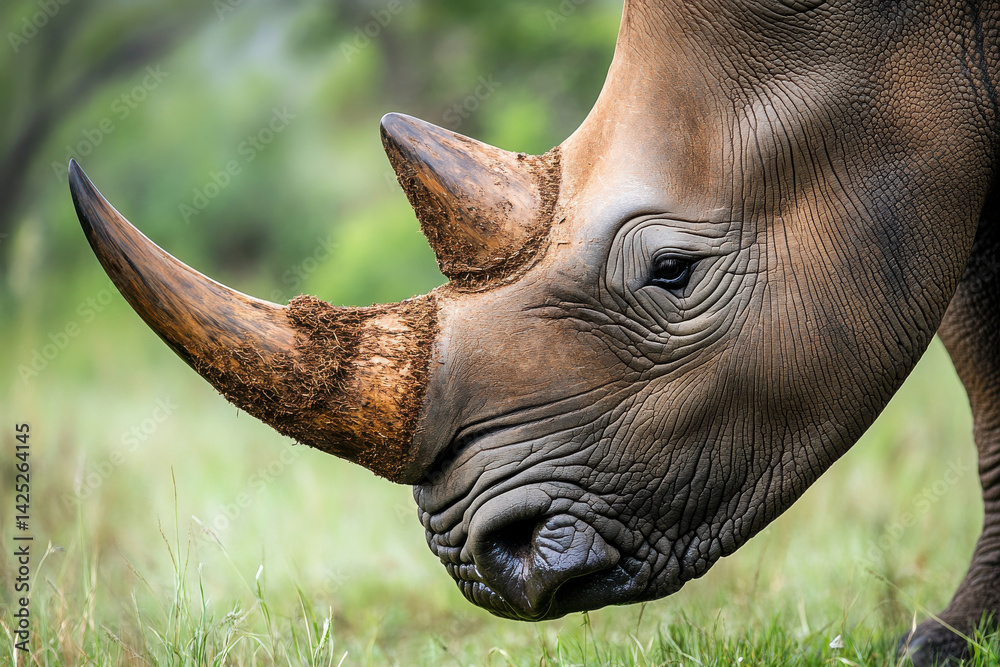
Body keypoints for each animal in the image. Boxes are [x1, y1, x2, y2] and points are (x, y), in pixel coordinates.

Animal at [70, 0, 999, 664]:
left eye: (673, 272)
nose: (488, 560)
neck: (923, 29)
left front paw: (942, 644)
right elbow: (984, 365)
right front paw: (944, 644)